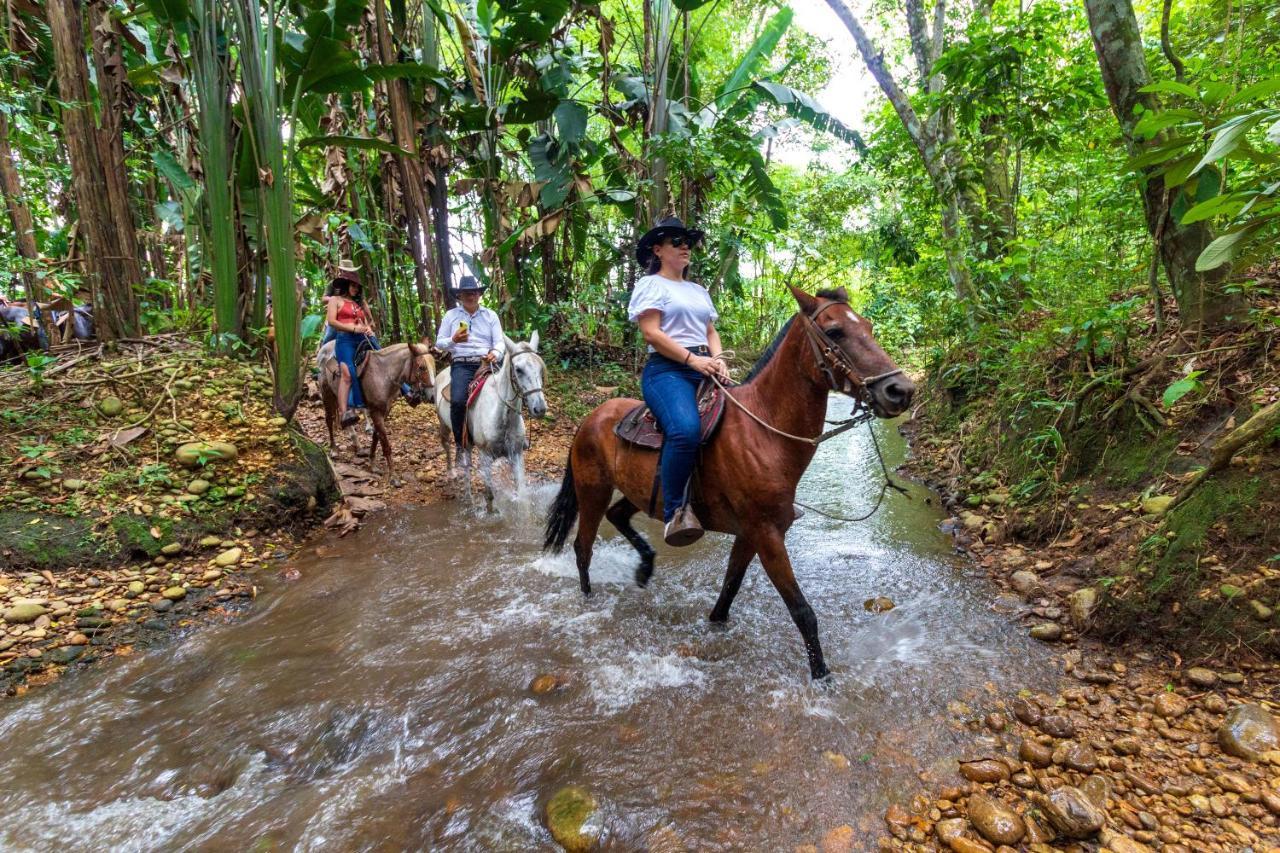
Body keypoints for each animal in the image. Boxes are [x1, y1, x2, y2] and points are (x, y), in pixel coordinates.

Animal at [317, 340, 437, 484]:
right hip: (326, 393)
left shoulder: (385, 410)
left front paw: (372, 464)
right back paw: (334, 449)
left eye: (434, 366)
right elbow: (385, 443)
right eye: (421, 367)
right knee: (329, 420)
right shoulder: (375, 411)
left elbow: (376, 436)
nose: (432, 396)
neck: (383, 374)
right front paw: (393, 476)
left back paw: (356, 444)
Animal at [437, 330, 547, 504]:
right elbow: (489, 496)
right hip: (446, 427)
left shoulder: (516, 455)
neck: (502, 416)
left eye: (540, 369)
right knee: (453, 451)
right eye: (518, 369)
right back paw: (455, 478)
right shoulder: (485, 458)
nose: (540, 408)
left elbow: (522, 494)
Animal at [545, 285, 916, 676]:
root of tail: (591, 417)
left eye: (869, 326)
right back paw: (589, 598)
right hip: (592, 491)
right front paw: (821, 676)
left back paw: (645, 568)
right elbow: (801, 610)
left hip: (641, 491)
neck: (764, 432)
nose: (900, 390)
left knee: (617, 516)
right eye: (835, 332)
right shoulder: (766, 533)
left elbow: (729, 589)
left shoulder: (751, 532)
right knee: (583, 547)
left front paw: (716, 625)